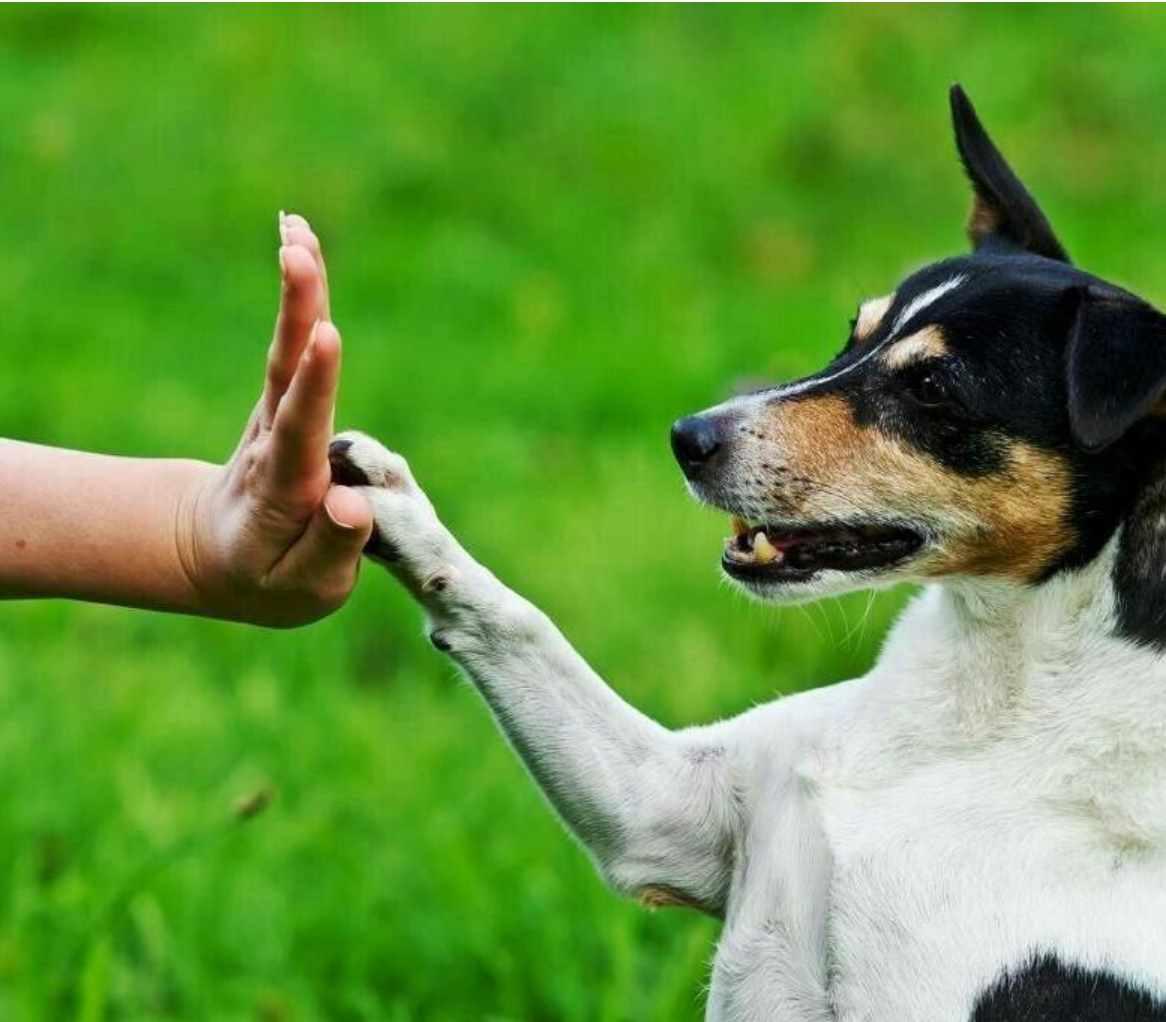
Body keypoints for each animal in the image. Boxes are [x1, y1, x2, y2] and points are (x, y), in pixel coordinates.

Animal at [324, 89, 1166, 1020]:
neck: (996, 691)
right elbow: (515, 621)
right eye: (853, 334)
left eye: (932, 387)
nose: (688, 437)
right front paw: (390, 502)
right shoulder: (664, 810)